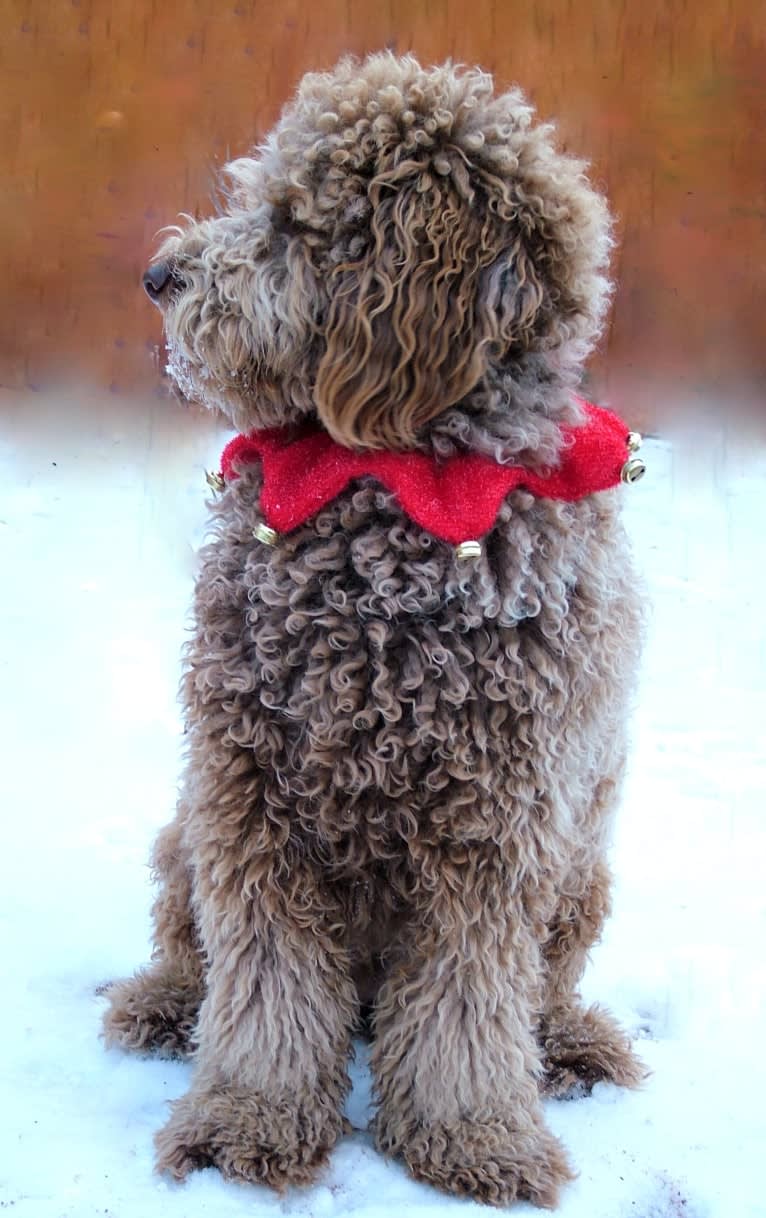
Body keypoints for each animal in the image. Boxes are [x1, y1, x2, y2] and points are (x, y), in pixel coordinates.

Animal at [104, 54, 643, 1208]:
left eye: (293, 224)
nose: (161, 276)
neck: (392, 481)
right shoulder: (248, 791)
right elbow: (263, 982)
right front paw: (247, 1122)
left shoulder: (501, 826)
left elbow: (466, 1001)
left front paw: (474, 1137)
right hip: (182, 834)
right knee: (190, 948)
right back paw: (164, 1005)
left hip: (583, 869)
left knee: (536, 991)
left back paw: (568, 1047)